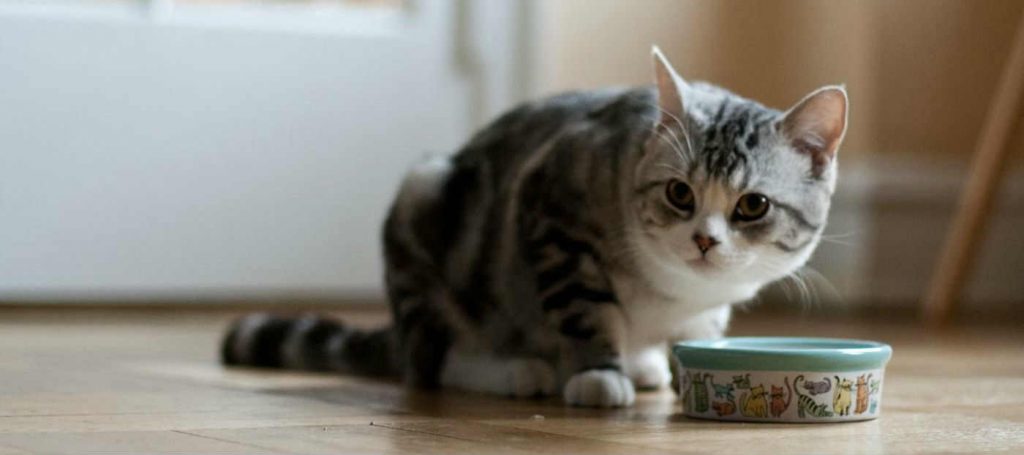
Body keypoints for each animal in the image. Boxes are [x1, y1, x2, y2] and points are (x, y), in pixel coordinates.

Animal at [218, 47, 847, 407]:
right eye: (679, 193)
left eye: (752, 206)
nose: (703, 240)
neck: (674, 290)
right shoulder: (554, 213)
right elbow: (583, 306)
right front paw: (597, 373)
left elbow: (703, 332)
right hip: (423, 201)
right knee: (429, 362)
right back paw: (516, 370)